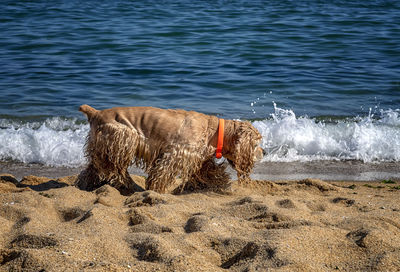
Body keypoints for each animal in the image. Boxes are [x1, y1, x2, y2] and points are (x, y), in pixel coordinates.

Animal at [76, 104, 264, 193]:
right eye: (257, 143)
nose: (265, 152)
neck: (215, 131)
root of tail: (95, 113)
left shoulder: (198, 158)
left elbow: (209, 171)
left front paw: (219, 182)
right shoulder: (177, 153)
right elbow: (162, 173)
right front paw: (156, 190)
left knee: (94, 168)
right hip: (122, 138)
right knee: (113, 167)